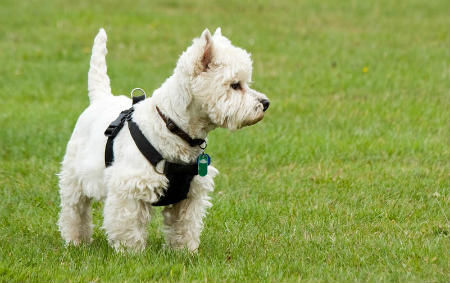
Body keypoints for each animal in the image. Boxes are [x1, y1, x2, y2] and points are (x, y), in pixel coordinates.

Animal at [57, 27, 268, 253]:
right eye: (235, 85)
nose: (266, 103)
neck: (173, 126)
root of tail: (101, 98)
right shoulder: (129, 188)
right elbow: (128, 225)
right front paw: (130, 253)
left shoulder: (190, 195)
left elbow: (185, 225)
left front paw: (186, 252)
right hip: (73, 177)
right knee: (74, 211)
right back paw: (76, 241)